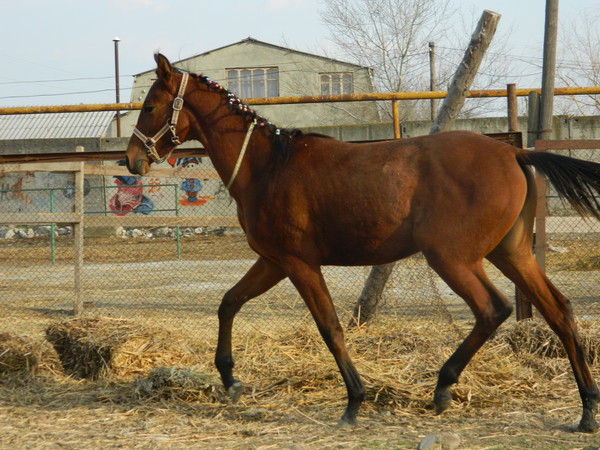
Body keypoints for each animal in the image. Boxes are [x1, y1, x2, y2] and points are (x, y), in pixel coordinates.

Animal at [126, 53, 600, 432]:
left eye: (150, 105)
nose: (131, 159)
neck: (268, 167)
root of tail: (515, 153)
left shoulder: (298, 264)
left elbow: (330, 327)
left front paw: (354, 402)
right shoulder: (273, 262)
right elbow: (228, 303)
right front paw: (230, 378)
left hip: (453, 258)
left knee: (493, 309)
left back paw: (443, 387)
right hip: (511, 253)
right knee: (559, 310)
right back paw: (587, 411)